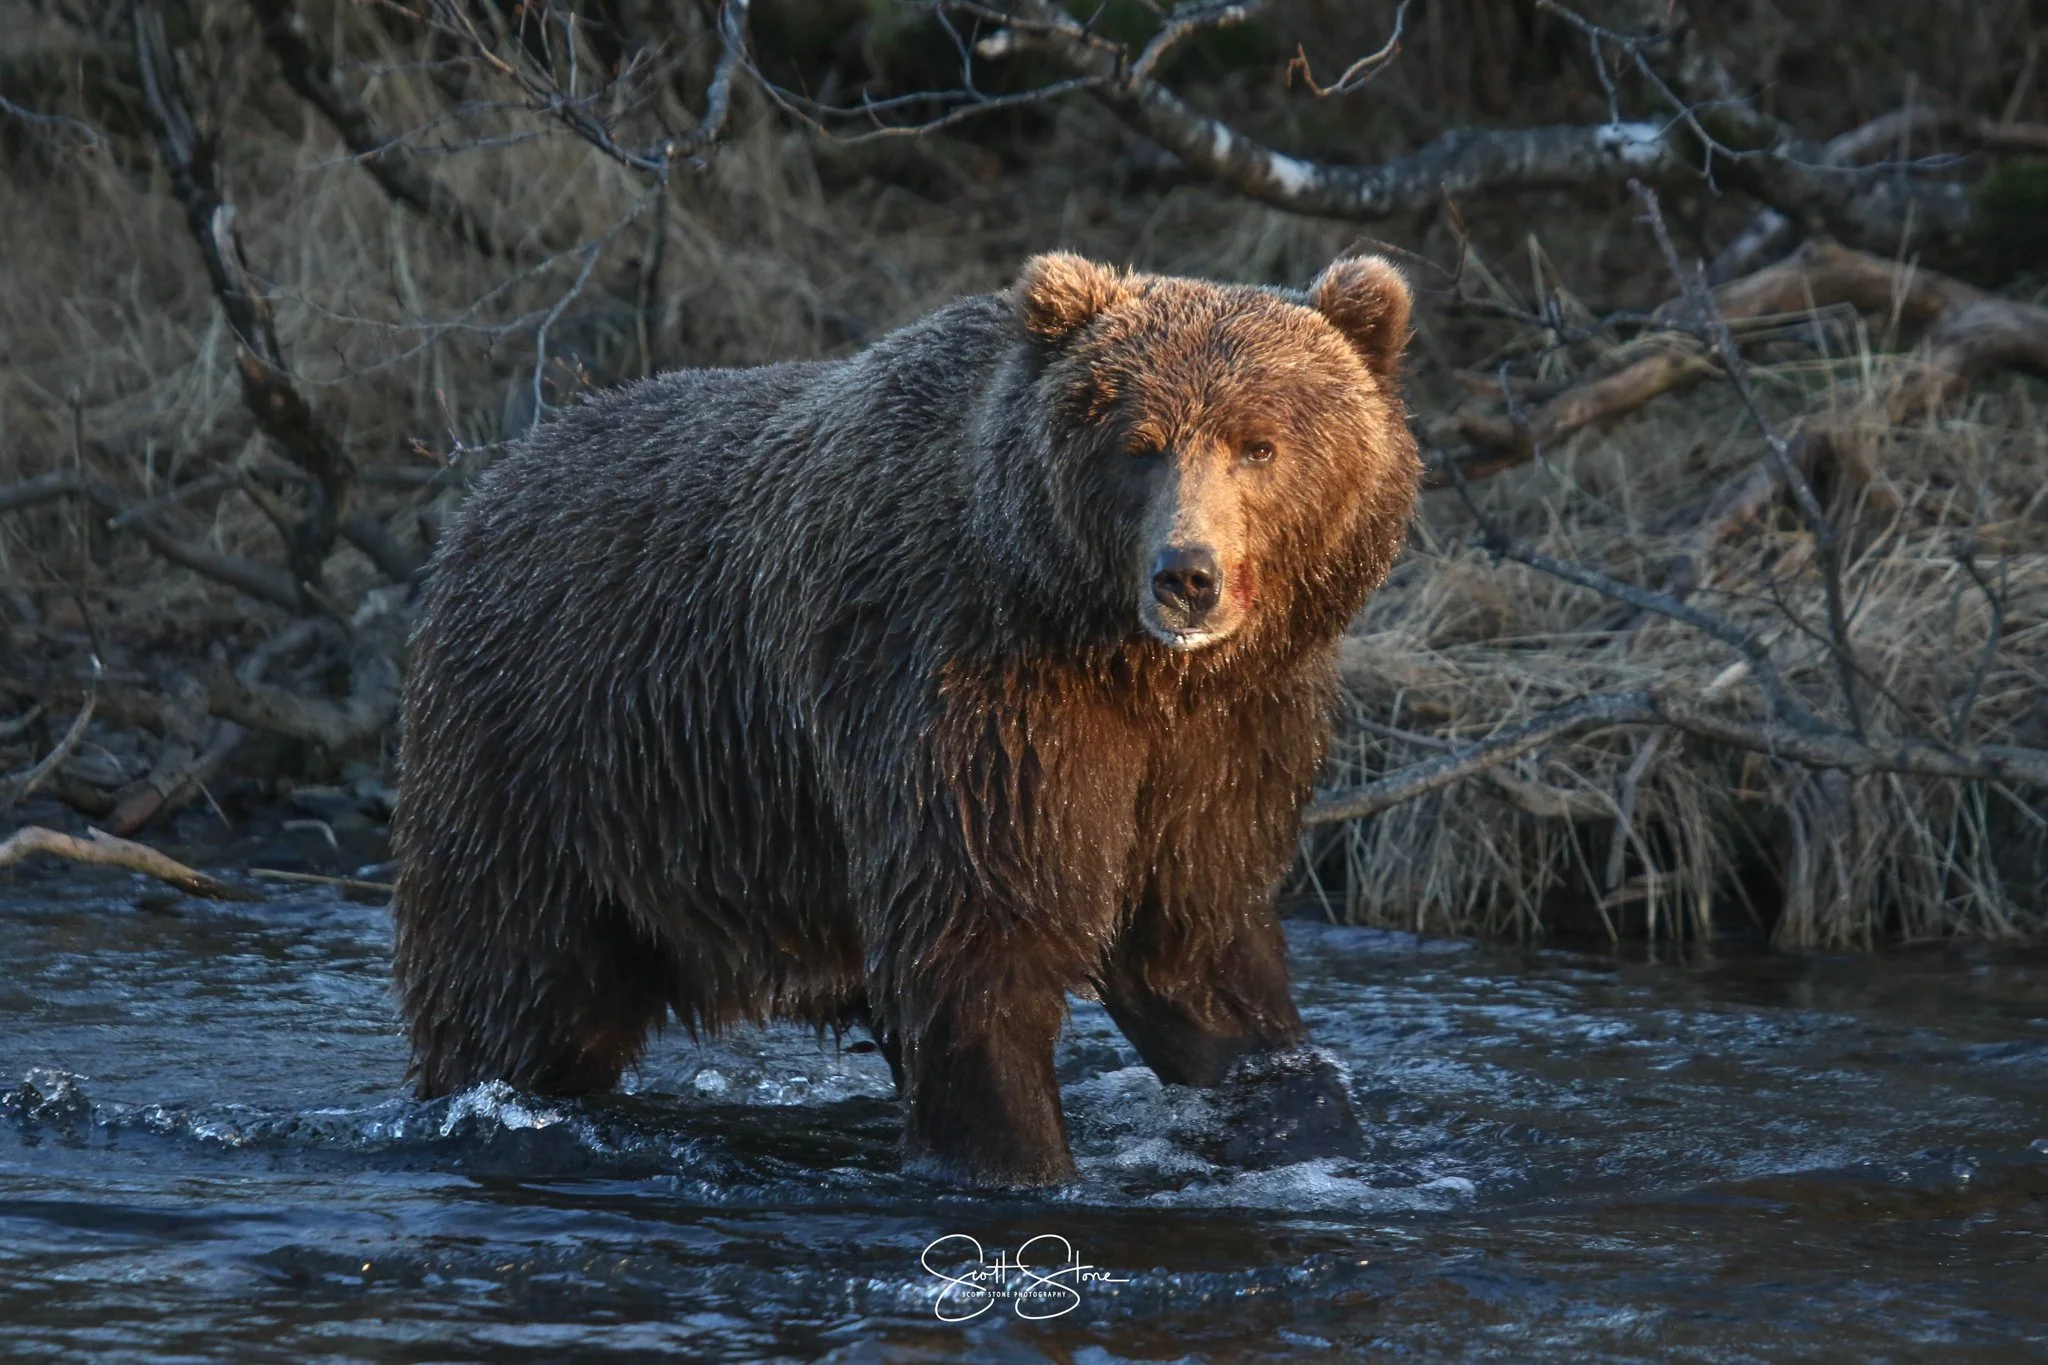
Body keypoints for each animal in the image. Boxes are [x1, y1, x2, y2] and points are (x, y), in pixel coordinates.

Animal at [390, 251, 1421, 1187]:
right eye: (1140, 443)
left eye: (1260, 443)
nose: (1187, 574)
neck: (1120, 660)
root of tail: (487, 491)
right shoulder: (972, 695)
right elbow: (980, 943)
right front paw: (1017, 1160)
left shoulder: (1227, 740)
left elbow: (1198, 947)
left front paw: (1302, 1116)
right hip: (550, 759)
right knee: (514, 983)